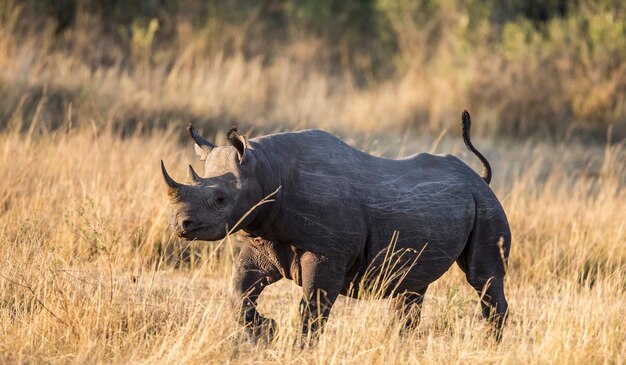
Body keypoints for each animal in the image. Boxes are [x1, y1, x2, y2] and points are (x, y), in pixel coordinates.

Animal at [161, 111, 508, 342]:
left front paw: (300, 347)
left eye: (220, 199)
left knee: (483, 278)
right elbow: (239, 292)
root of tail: (479, 178)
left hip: (486, 205)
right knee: (411, 286)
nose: (180, 225)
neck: (265, 170)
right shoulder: (262, 240)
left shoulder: (327, 251)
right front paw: (268, 331)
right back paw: (398, 343)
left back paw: (490, 344)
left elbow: (312, 308)